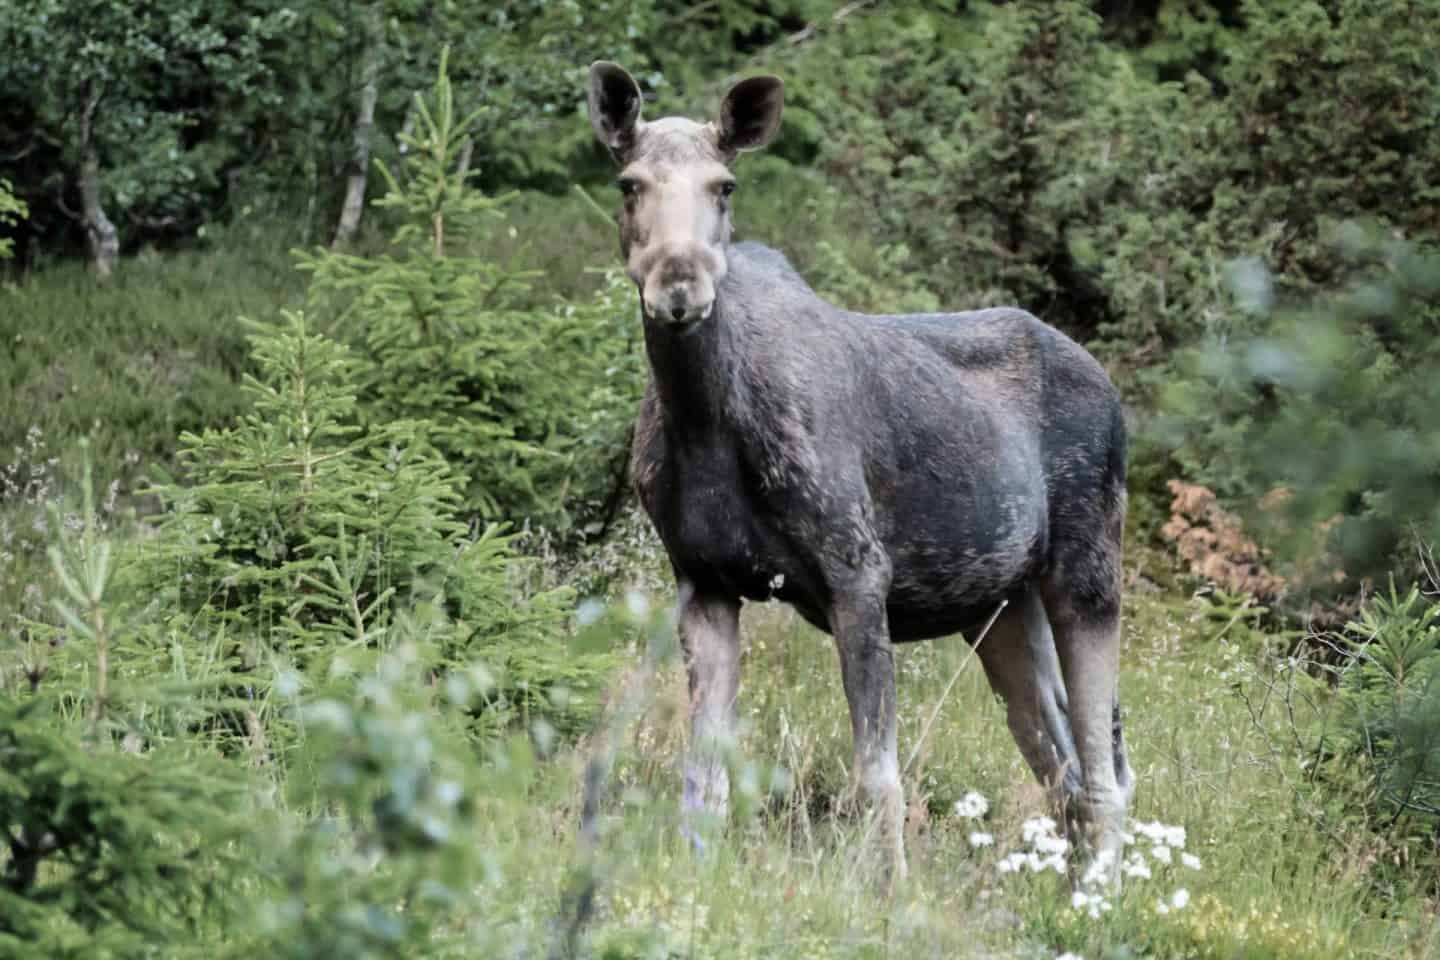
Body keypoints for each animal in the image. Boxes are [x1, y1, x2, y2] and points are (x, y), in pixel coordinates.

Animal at [584, 63, 1134, 880]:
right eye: (629, 184)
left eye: (724, 186)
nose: (679, 287)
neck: (704, 420)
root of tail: (1114, 393)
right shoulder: (703, 581)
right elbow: (704, 775)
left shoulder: (858, 570)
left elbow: (878, 775)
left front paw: (892, 892)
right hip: (1001, 606)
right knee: (1061, 763)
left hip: (1088, 571)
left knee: (1105, 772)